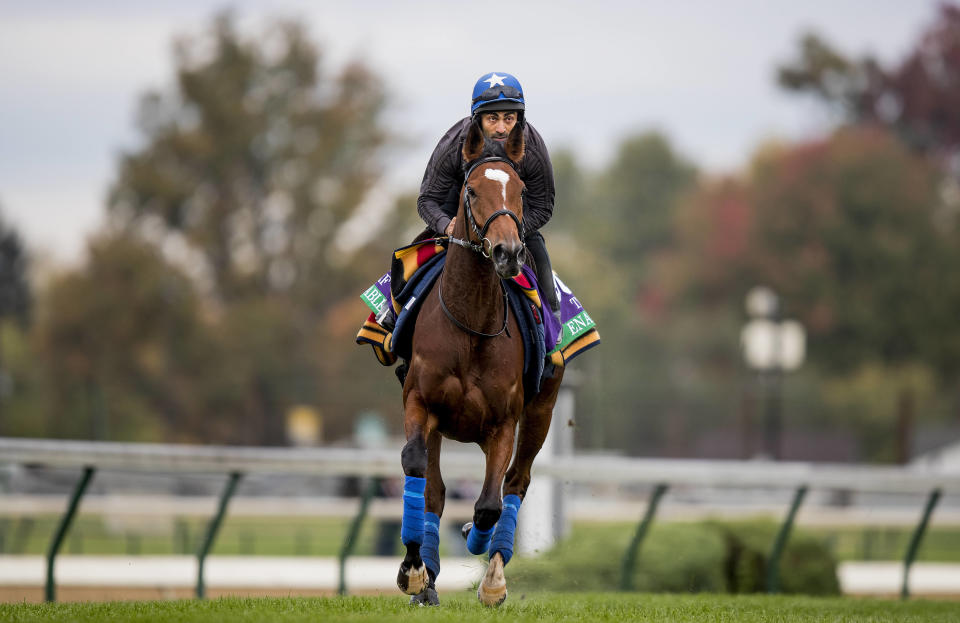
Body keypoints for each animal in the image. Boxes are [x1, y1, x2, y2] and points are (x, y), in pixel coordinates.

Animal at [396, 124, 564, 608]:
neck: (471, 323)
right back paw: (429, 579)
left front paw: (486, 567)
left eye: (521, 190)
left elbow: (490, 503)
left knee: (516, 483)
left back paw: (492, 570)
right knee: (434, 492)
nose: (507, 251)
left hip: (542, 412)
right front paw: (414, 573)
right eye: (471, 190)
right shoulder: (420, 402)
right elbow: (418, 471)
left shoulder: (503, 421)